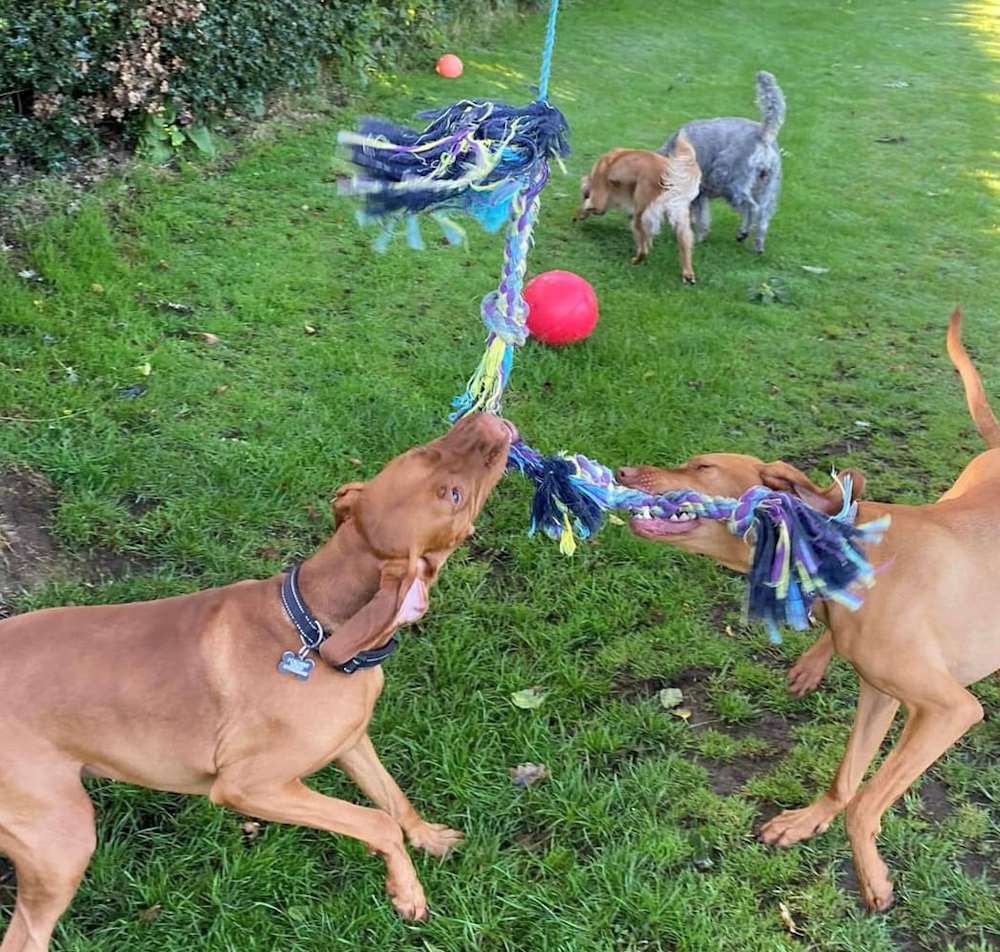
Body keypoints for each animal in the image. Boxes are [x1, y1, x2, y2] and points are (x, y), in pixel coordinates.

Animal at [0, 412, 516, 948]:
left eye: (422, 449)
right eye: (452, 494)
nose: (490, 419)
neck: (314, 626)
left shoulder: (353, 741)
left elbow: (393, 798)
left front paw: (429, 838)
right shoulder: (250, 787)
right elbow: (376, 821)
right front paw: (407, 888)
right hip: (62, 839)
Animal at [576, 134, 700, 282]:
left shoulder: (599, 198)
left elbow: (588, 206)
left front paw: (578, 215)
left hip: (641, 215)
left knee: (643, 250)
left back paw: (636, 260)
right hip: (680, 220)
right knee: (684, 244)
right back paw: (688, 273)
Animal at [616, 310, 1000, 908]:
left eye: (702, 466)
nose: (625, 473)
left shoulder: (949, 710)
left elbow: (865, 802)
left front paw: (872, 875)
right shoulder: (881, 695)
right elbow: (846, 781)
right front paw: (807, 821)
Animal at [660, 72, 784, 253]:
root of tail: (763, 135)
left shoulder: (698, 192)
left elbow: (700, 217)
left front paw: (697, 236)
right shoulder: (701, 194)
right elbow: (701, 216)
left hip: (730, 184)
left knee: (752, 209)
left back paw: (743, 232)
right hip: (767, 188)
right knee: (763, 219)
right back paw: (758, 246)